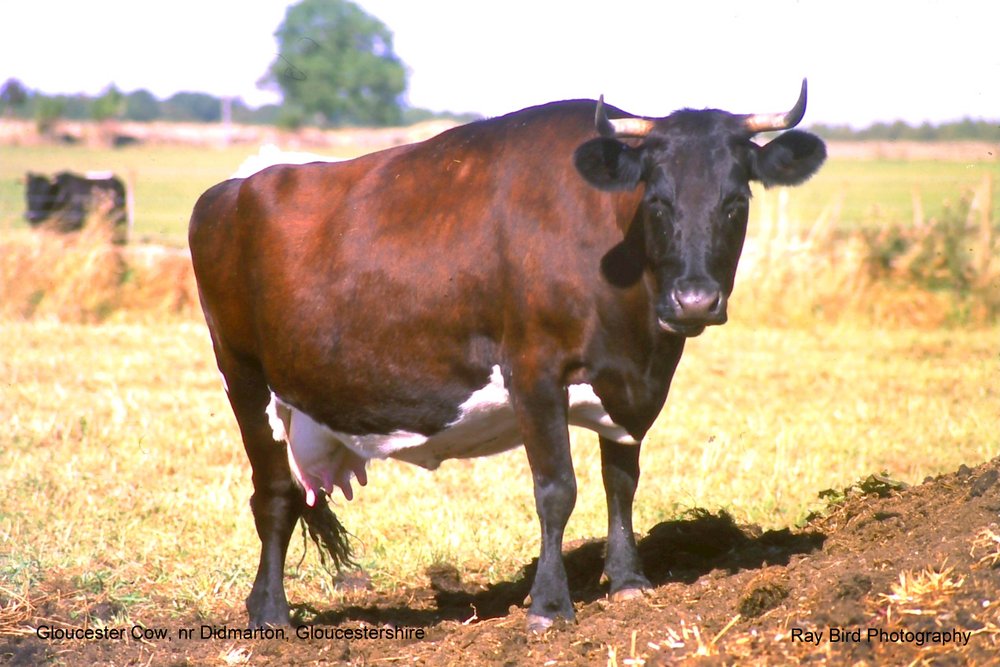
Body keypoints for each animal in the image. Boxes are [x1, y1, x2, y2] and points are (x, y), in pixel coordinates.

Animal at [189, 80, 826, 632]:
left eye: (735, 201)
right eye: (659, 201)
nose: (695, 299)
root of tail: (234, 187)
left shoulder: (628, 384)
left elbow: (621, 481)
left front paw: (628, 582)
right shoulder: (534, 370)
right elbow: (556, 489)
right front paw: (549, 606)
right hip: (242, 374)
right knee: (273, 496)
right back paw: (270, 613)